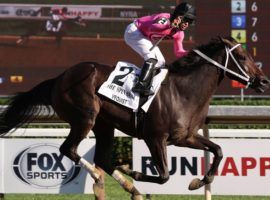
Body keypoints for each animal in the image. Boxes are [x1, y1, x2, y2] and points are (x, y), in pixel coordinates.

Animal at [0, 36, 268, 200]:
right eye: (242, 57)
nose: (264, 81)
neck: (184, 91)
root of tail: (59, 78)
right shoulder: (155, 137)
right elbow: (164, 175)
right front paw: (135, 171)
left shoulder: (186, 137)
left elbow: (218, 150)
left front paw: (199, 182)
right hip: (85, 118)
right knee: (69, 149)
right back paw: (102, 177)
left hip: (104, 125)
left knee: (102, 158)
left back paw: (130, 186)